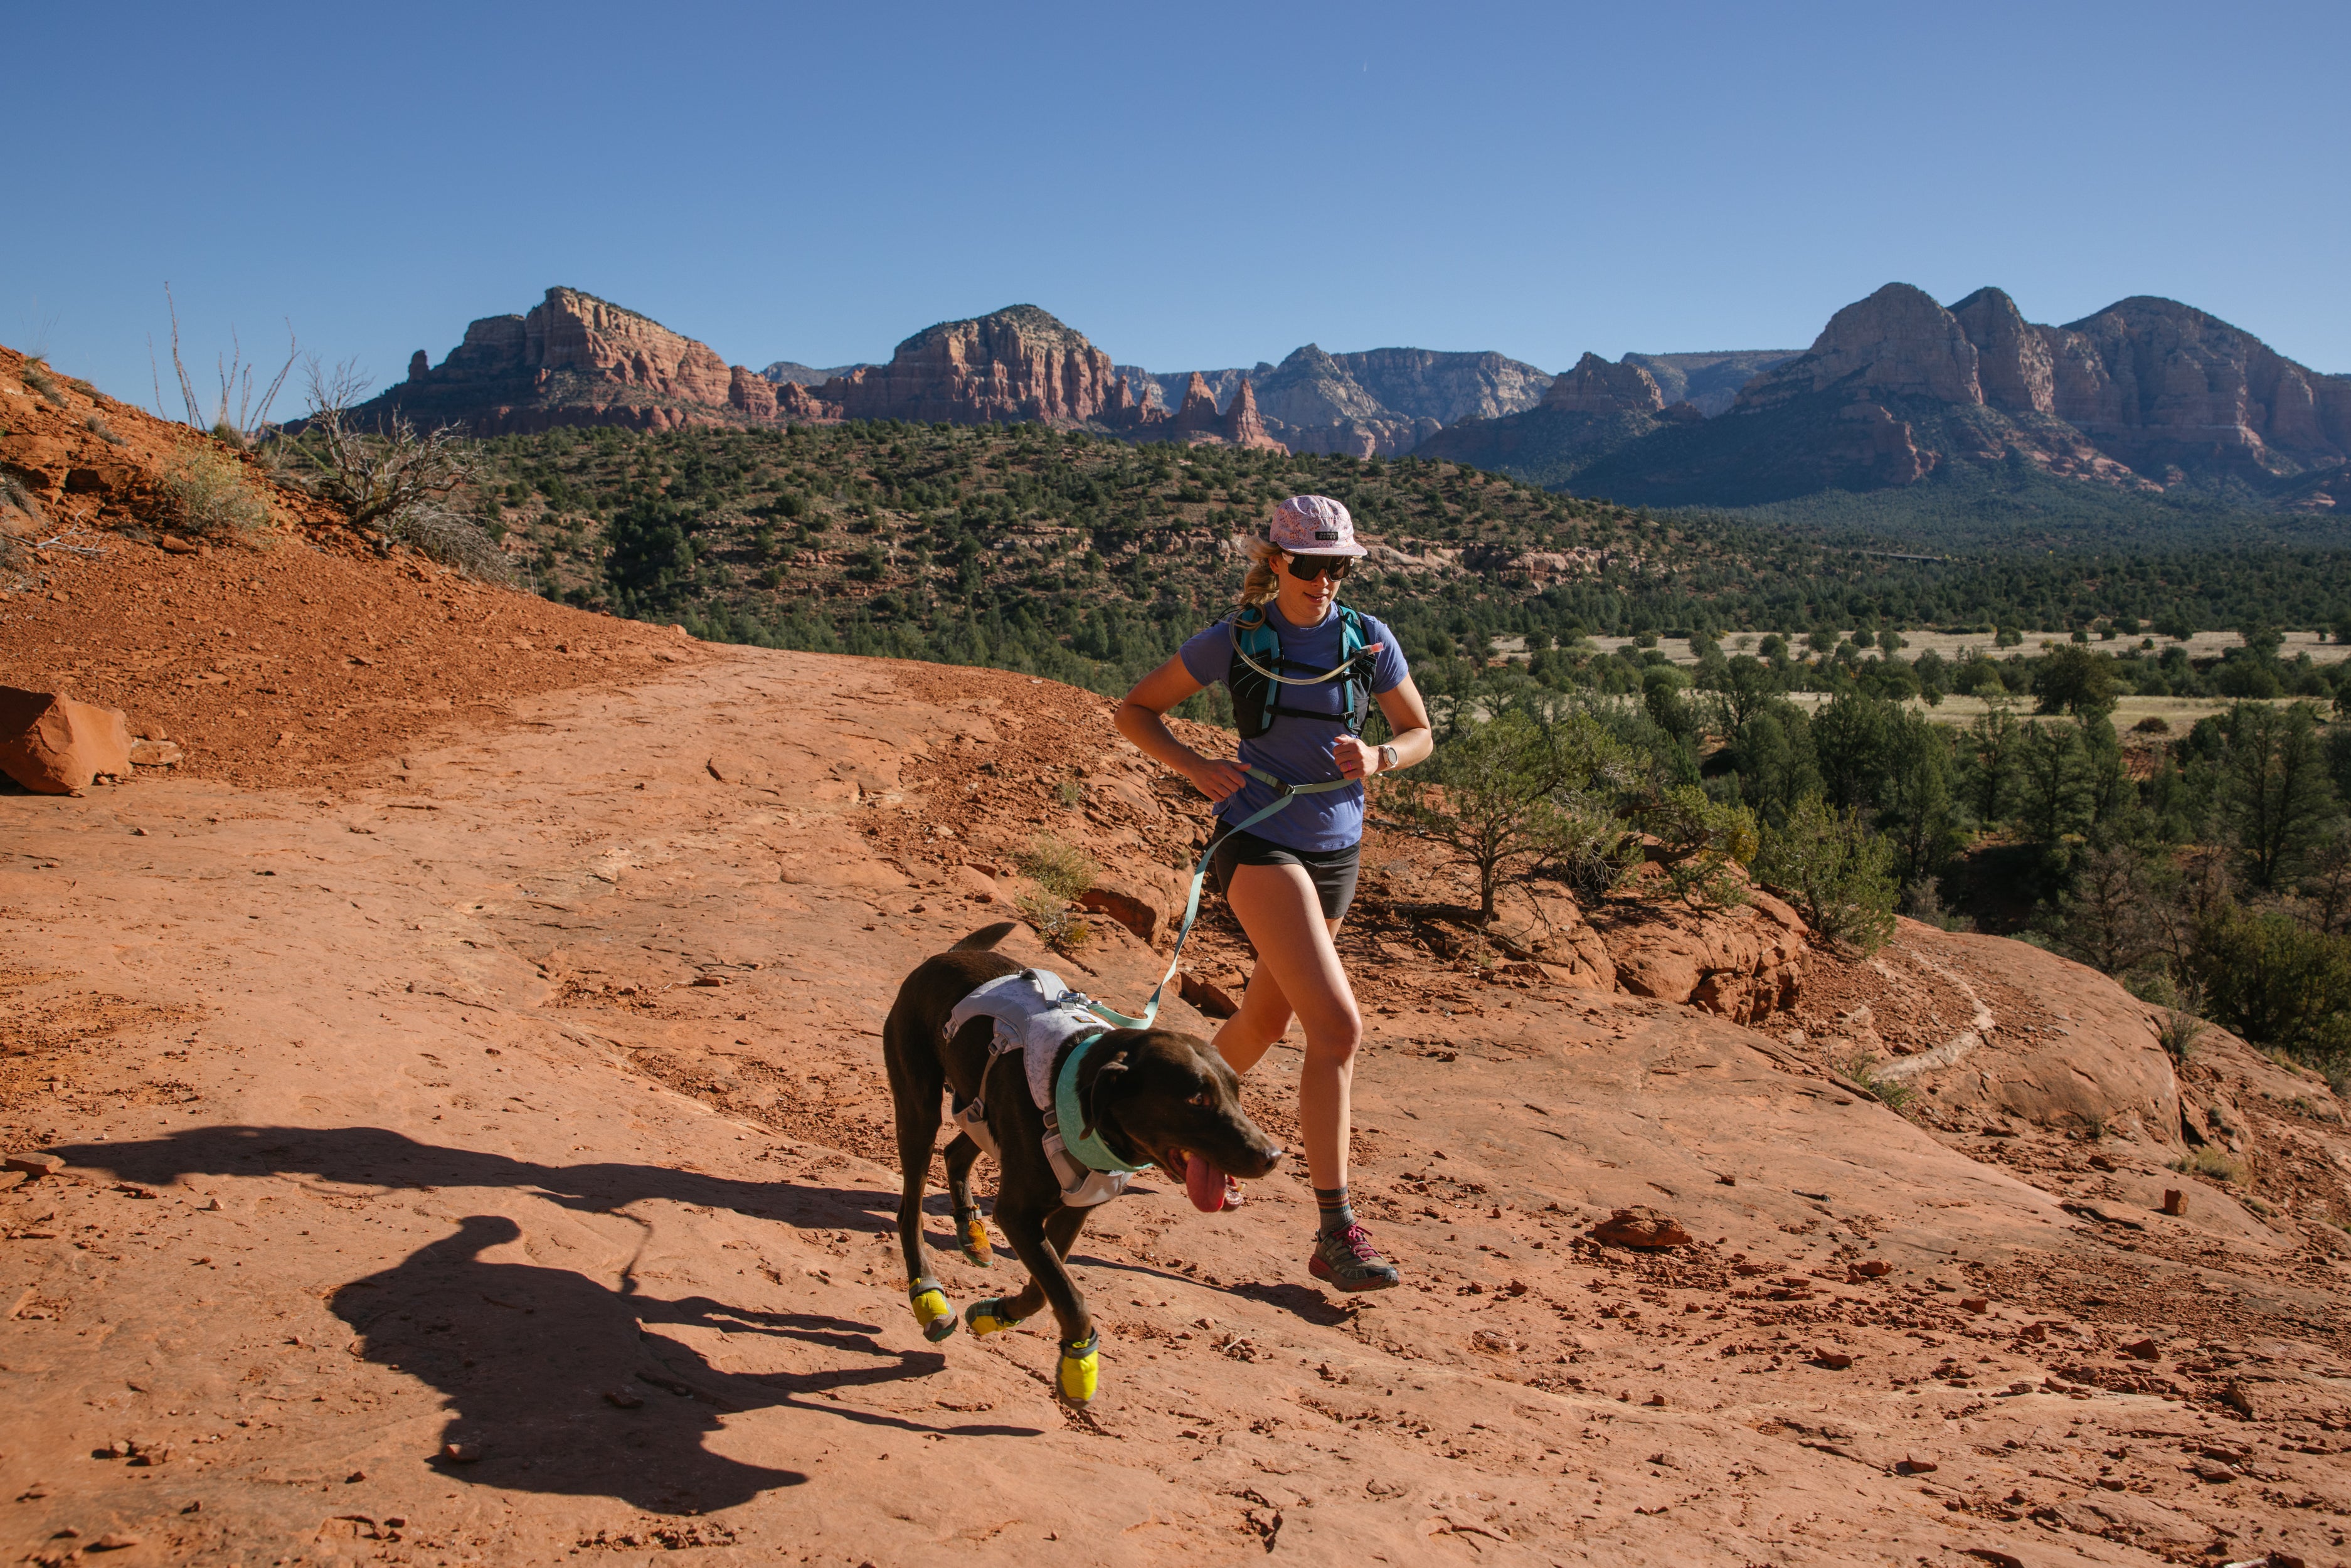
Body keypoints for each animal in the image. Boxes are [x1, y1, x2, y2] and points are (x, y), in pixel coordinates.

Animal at [884, 926, 1288, 1401]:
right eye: (1196, 1100)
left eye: (1236, 1091)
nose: (1272, 1156)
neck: (1081, 1085)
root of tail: (942, 957)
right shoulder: (1018, 1214)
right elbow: (1068, 1294)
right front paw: (1080, 1365)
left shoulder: (1075, 1209)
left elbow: (1046, 1289)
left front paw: (999, 1313)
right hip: (919, 1104)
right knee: (910, 1209)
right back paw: (928, 1298)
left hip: (979, 1110)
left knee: (956, 1151)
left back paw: (971, 1231)